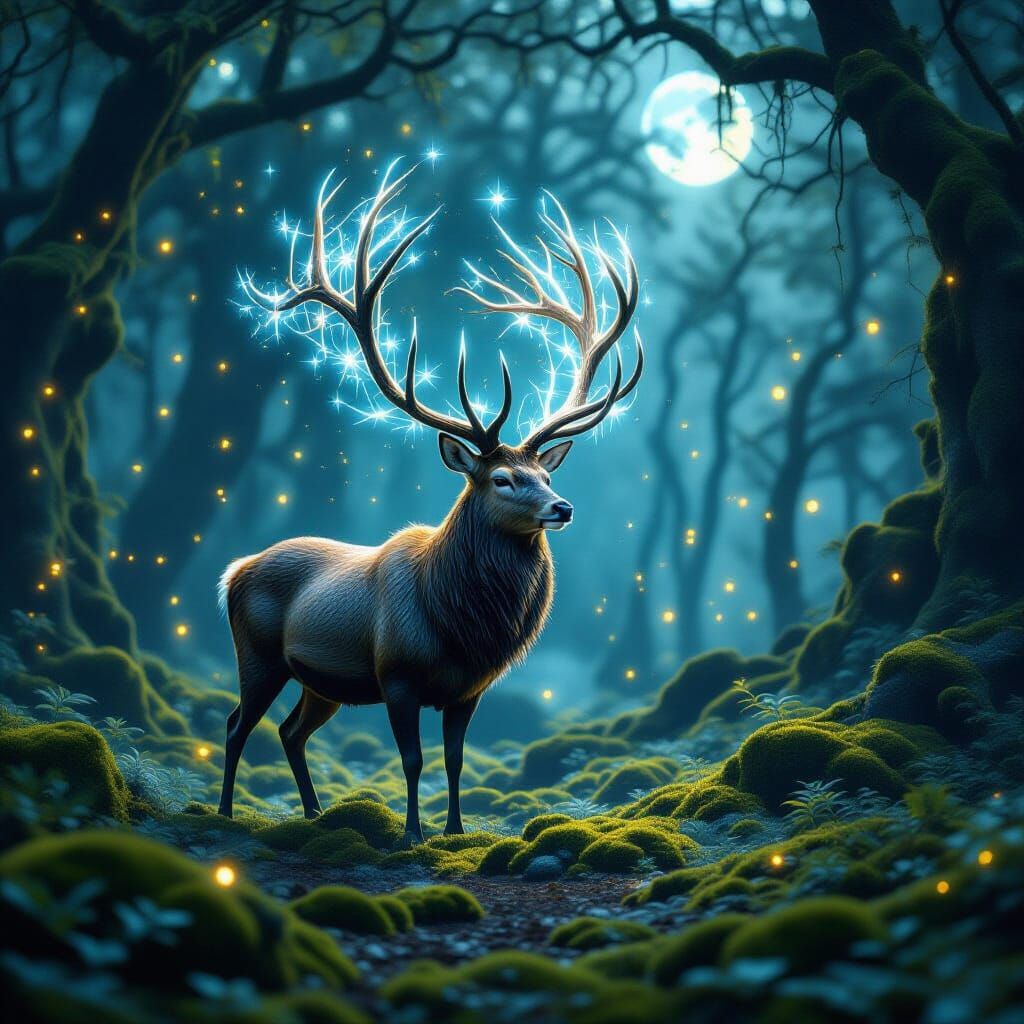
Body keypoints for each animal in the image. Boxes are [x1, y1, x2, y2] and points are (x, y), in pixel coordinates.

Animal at [217, 164, 642, 845]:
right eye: (502, 479)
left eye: (541, 473)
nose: (563, 507)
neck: (459, 625)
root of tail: (235, 570)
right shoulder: (397, 674)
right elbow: (412, 760)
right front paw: (414, 834)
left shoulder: (469, 689)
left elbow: (455, 759)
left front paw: (457, 832)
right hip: (256, 653)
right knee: (238, 723)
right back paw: (228, 811)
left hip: (321, 682)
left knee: (289, 731)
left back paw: (312, 814)